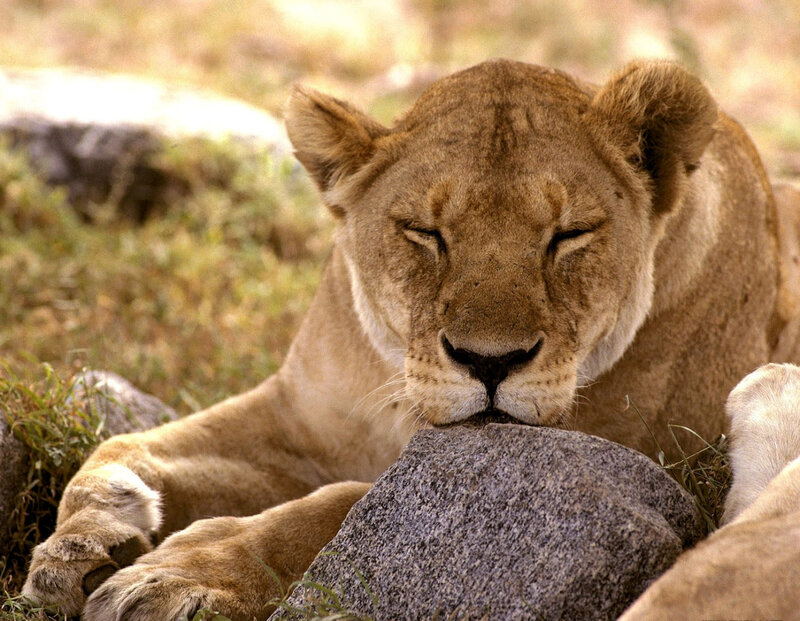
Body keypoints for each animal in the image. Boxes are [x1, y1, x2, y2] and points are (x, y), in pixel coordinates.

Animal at [21, 59, 800, 620]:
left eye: (569, 235)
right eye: (425, 232)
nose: (491, 362)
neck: (397, 389)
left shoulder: (644, 466)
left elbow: (338, 506)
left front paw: (178, 574)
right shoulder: (298, 419)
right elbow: (126, 447)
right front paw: (83, 541)